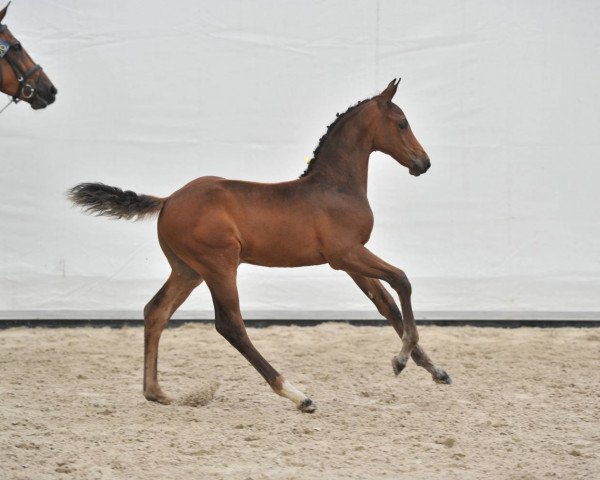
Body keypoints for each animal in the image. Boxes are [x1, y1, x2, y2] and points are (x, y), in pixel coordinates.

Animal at [69, 79, 450, 412]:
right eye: (401, 123)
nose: (424, 162)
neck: (335, 186)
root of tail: (168, 201)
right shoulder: (346, 255)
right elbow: (402, 280)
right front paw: (401, 359)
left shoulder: (352, 261)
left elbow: (387, 305)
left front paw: (435, 371)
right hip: (220, 266)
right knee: (230, 325)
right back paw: (297, 395)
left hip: (188, 270)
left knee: (156, 311)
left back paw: (156, 393)